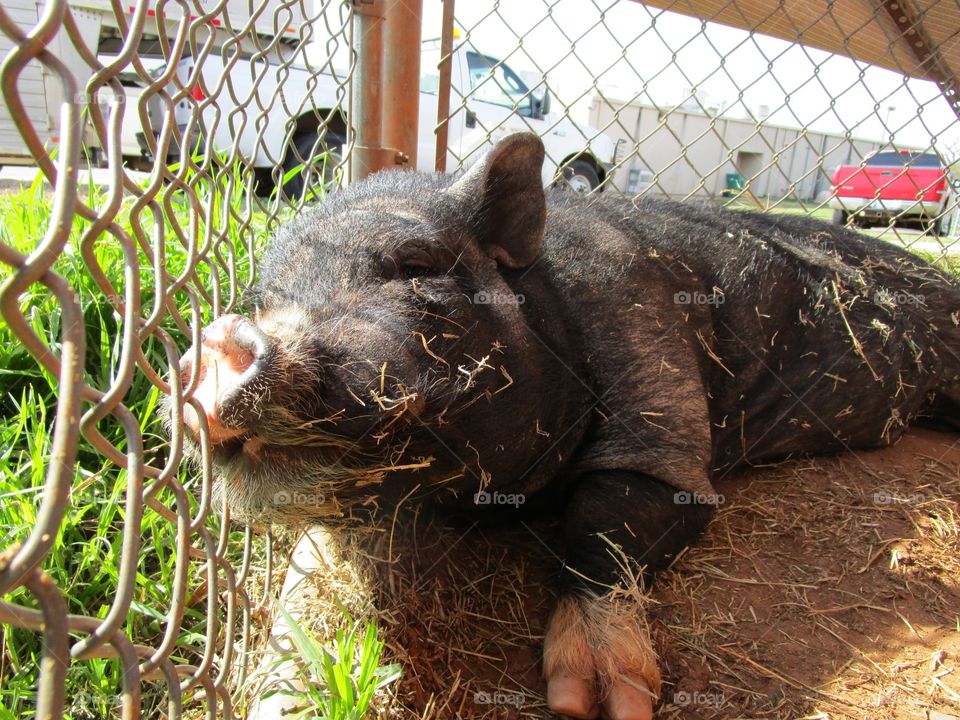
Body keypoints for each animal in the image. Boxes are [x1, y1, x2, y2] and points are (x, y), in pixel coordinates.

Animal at [176, 132, 956, 716]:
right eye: (265, 296)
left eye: (415, 264)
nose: (217, 343)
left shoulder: (651, 370)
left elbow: (607, 512)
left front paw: (599, 701)